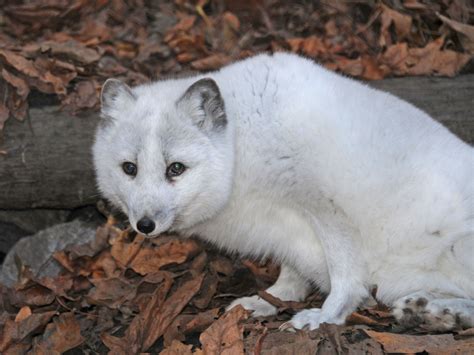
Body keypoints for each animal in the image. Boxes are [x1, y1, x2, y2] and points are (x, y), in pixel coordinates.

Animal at [93, 52, 474, 330]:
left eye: (175, 168)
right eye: (129, 168)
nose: (144, 225)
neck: (242, 149)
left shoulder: (324, 205)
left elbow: (346, 276)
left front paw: (327, 315)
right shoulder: (287, 234)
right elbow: (291, 277)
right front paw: (266, 301)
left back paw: (438, 314)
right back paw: (430, 312)